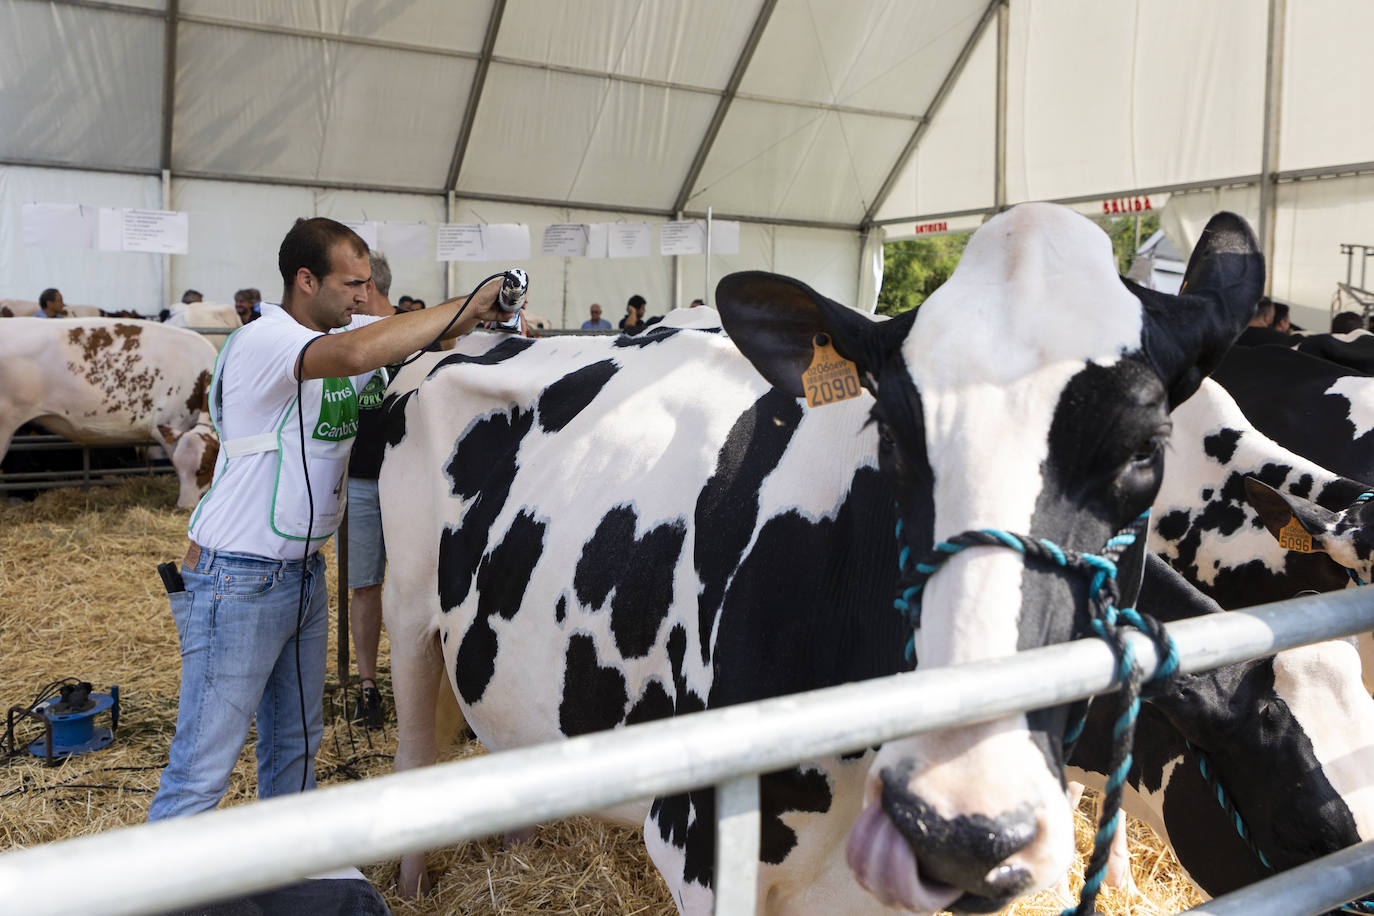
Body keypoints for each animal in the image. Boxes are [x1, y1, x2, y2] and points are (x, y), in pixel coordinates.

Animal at [381, 204, 1258, 911]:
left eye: (1147, 451)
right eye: (891, 434)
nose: (960, 820)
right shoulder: (699, 848)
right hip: (406, 606)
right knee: (416, 743)